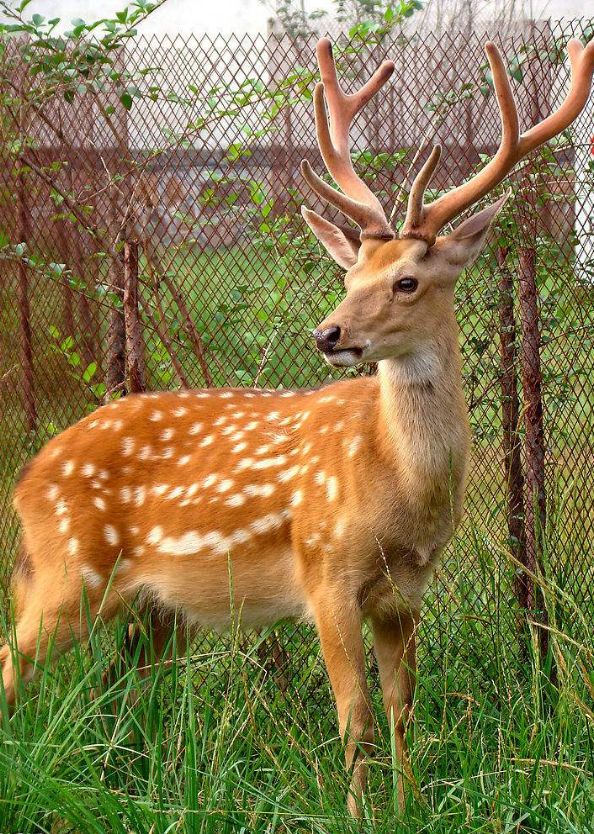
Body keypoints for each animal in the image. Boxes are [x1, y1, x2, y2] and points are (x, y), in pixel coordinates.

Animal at [2, 36, 594, 817]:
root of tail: (27, 478)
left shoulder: (407, 593)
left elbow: (402, 709)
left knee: (114, 688)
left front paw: (409, 806)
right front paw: (359, 814)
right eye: (349, 277)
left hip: (158, 612)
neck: (400, 487)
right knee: (13, 663)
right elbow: (355, 715)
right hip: (68, 570)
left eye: (407, 280)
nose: (328, 333)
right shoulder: (325, 573)